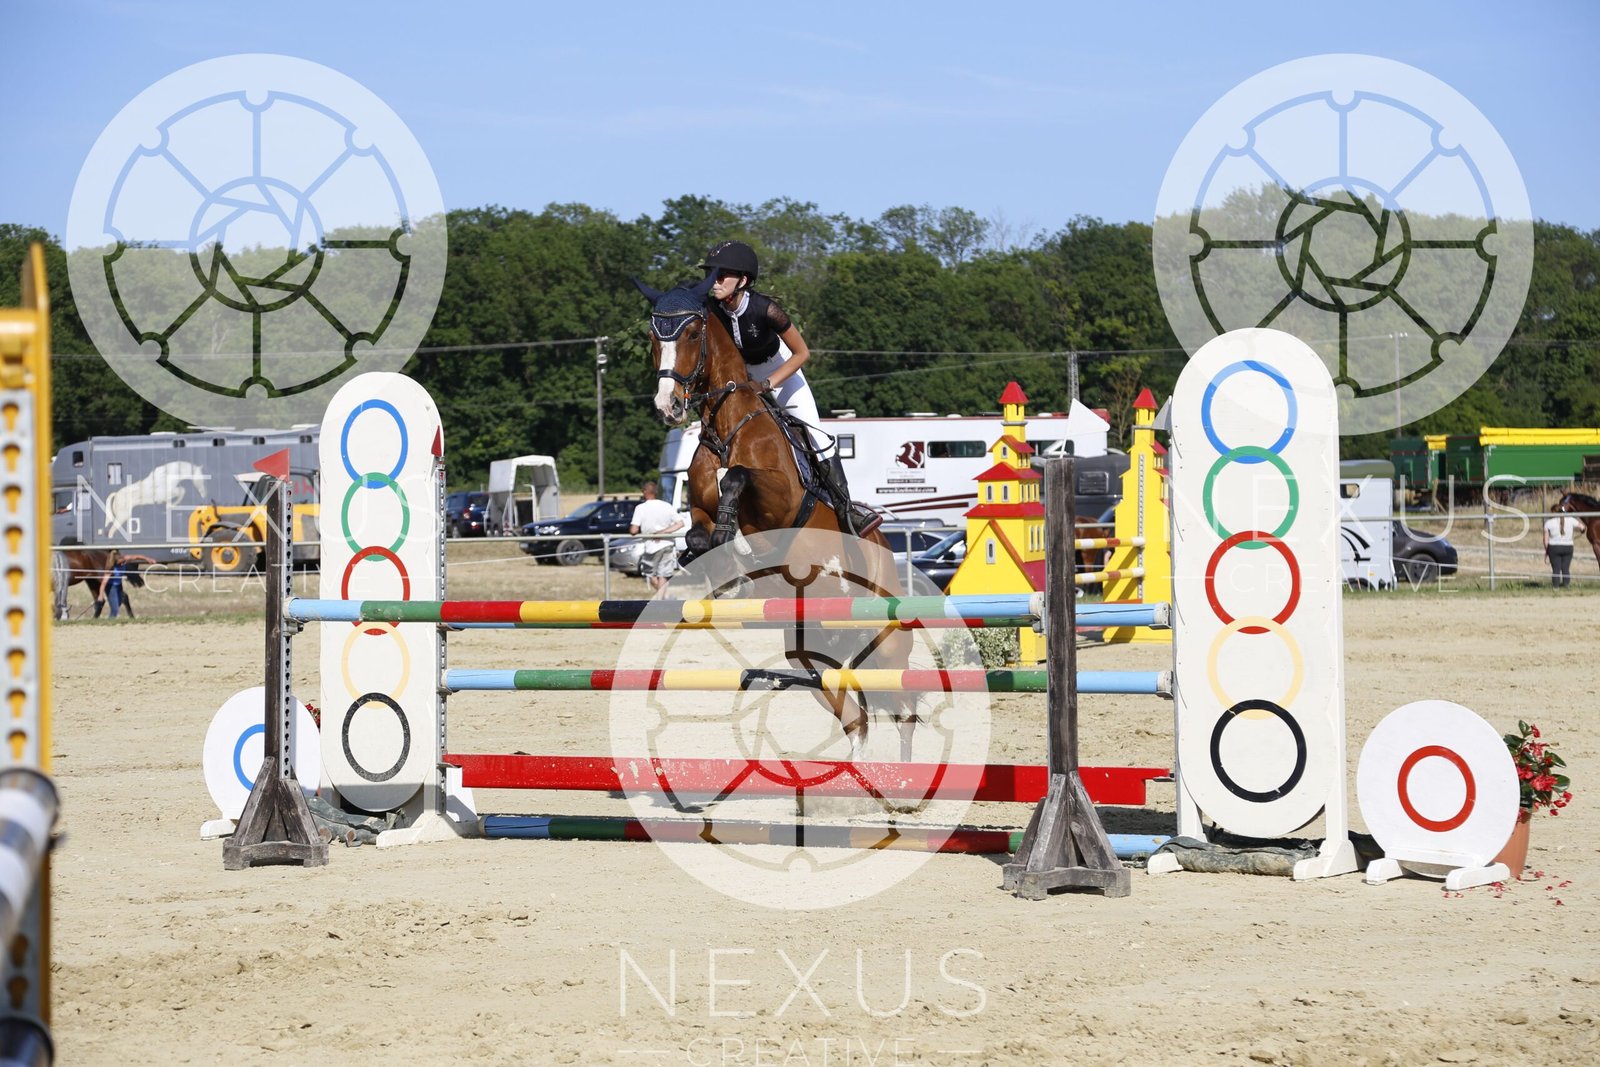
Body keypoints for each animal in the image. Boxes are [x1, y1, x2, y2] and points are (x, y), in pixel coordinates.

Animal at [636, 277, 919, 761]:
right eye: (654, 338)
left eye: (691, 334)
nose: (667, 405)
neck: (726, 428)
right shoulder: (698, 508)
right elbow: (700, 534)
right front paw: (727, 563)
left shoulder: (782, 500)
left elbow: (737, 477)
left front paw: (735, 536)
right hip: (812, 651)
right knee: (855, 715)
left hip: (886, 639)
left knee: (903, 709)